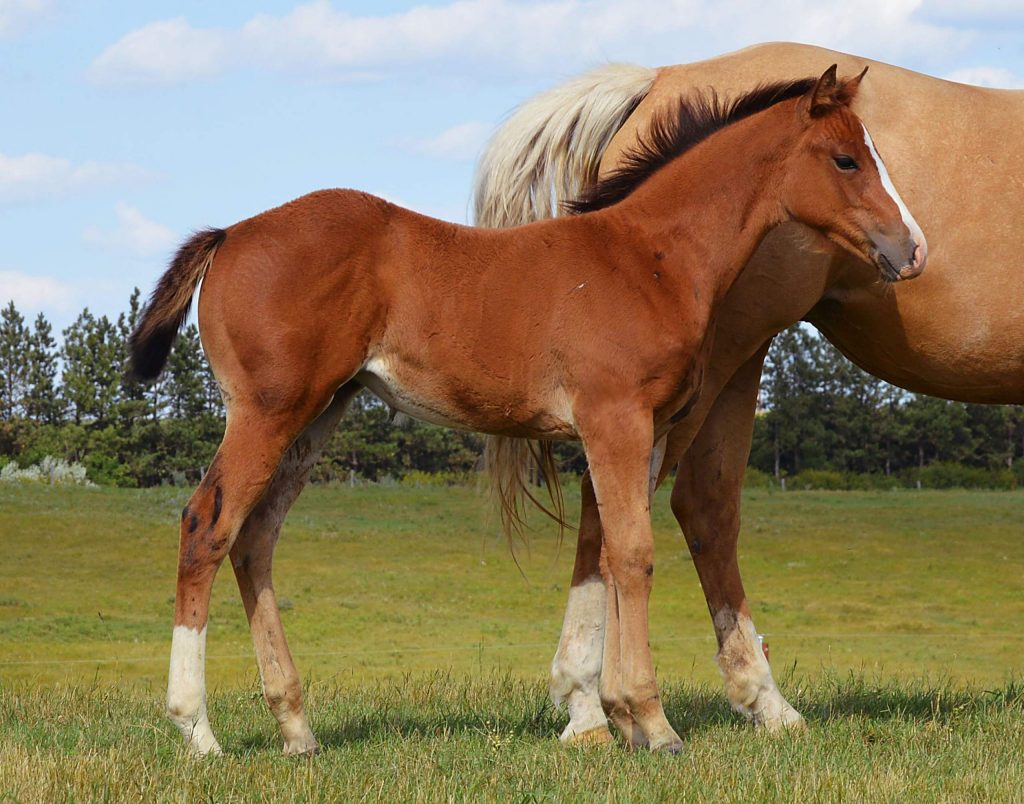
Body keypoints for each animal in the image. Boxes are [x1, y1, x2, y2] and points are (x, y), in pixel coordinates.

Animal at [130, 66, 924, 756]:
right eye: (846, 159)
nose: (912, 249)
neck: (650, 258)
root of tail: (229, 235)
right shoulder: (615, 419)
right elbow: (632, 553)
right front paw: (653, 724)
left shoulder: (645, 432)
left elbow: (605, 553)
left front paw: (615, 717)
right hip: (268, 410)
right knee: (206, 527)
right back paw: (197, 731)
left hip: (319, 411)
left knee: (256, 536)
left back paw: (296, 729)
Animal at [474, 41, 1022, 747]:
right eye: (846, 160)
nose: (915, 250)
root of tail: (657, 79)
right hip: (709, 369)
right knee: (663, 513)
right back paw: (686, 704)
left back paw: (597, 708)